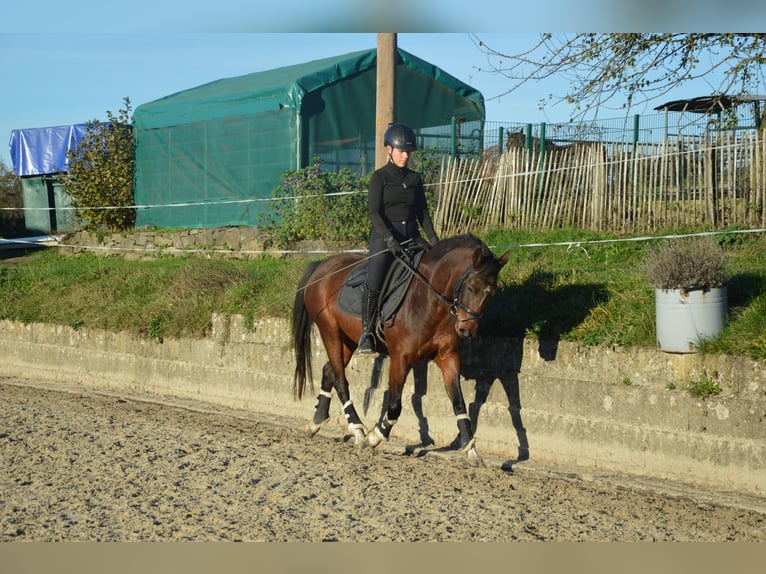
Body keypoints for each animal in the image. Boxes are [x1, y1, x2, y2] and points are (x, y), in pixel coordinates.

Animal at [292, 233, 508, 464]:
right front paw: (375, 436)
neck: (429, 300)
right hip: (329, 330)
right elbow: (395, 405)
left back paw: (316, 422)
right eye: (471, 287)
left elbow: (459, 402)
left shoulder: (448, 357)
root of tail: (323, 265)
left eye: (492, 293)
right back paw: (358, 430)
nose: (467, 330)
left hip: (347, 339)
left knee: (329, 371)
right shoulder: (400, 358)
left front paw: (471, 449)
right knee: (340, 379)